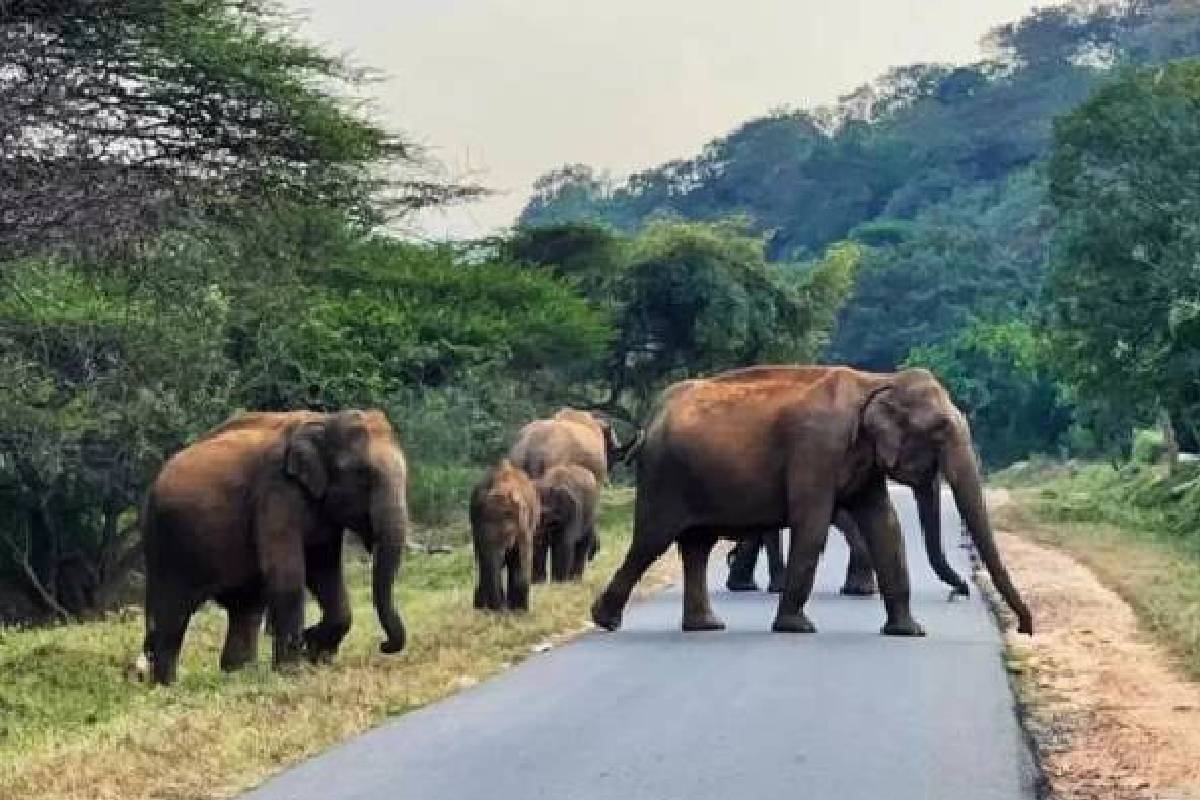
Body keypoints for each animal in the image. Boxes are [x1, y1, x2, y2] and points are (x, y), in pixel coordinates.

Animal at [140, 409, 409, 685]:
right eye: (362, 475)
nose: (383, 645)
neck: (325, 420)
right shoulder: (276, 491)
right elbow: (289, 575)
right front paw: (293, 672)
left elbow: (325, 571)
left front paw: (315, 653)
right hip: (165, 542)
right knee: (171, 616)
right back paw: (166, 685)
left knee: (244, 610)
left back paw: (238, 675)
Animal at [470, 460, 540, 612]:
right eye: (479, 534)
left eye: (507, 534)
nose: (500, 610)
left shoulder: (525, 526)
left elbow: (522, 556)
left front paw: (520, 611)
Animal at [591, 365, 1033, 637]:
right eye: (940, 429)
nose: (1025, 628)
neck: (877, 381)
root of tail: (653, 414)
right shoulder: (817, 449)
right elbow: (813, 523)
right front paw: (796, 627)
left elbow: (885, 525)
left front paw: (909, 632)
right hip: (664, 475)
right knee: (652, 541)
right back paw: (605, 620)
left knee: (697, 545)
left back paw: (706, 626)